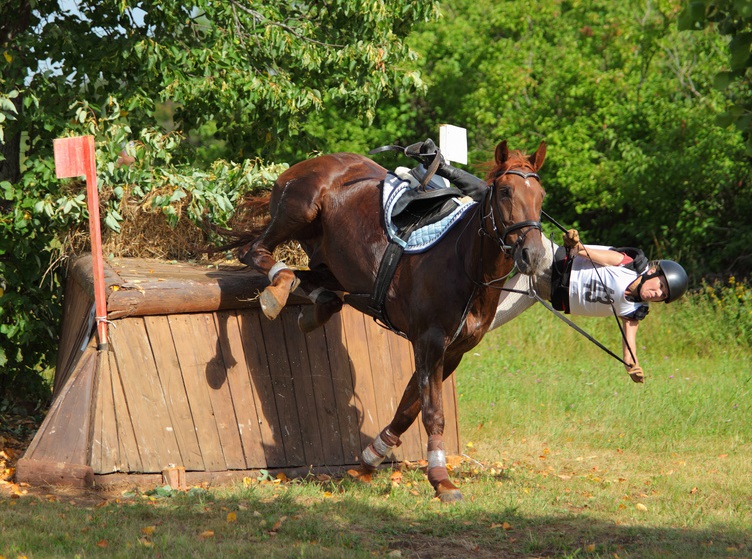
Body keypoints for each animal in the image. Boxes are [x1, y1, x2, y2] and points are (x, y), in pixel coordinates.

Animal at [239, 141, 548, 504]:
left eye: (541, 195)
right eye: (504, 192)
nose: (533, 255)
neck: (467, 266)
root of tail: (306, 163)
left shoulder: (451, 352)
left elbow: (408, 409)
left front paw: (371, 457)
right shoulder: (429, 342)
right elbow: (432, 413)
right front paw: (441, 479)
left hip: (330, 261)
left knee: (320, 287)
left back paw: (313, 307)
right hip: (299, 210)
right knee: (255, 251)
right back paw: (277, 289)